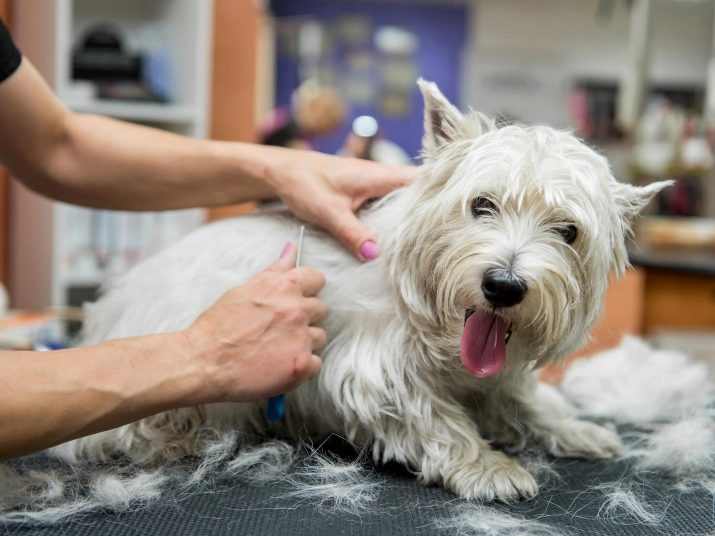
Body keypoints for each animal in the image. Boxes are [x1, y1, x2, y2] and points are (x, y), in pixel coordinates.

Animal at [56, 80, 672, 502]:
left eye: (568, 232)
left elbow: (525, 399)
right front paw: (490, 466)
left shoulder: (494, 374)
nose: (503, 286)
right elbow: (437, 419)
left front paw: (576, 428)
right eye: (482, 204)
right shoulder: (374, 371)